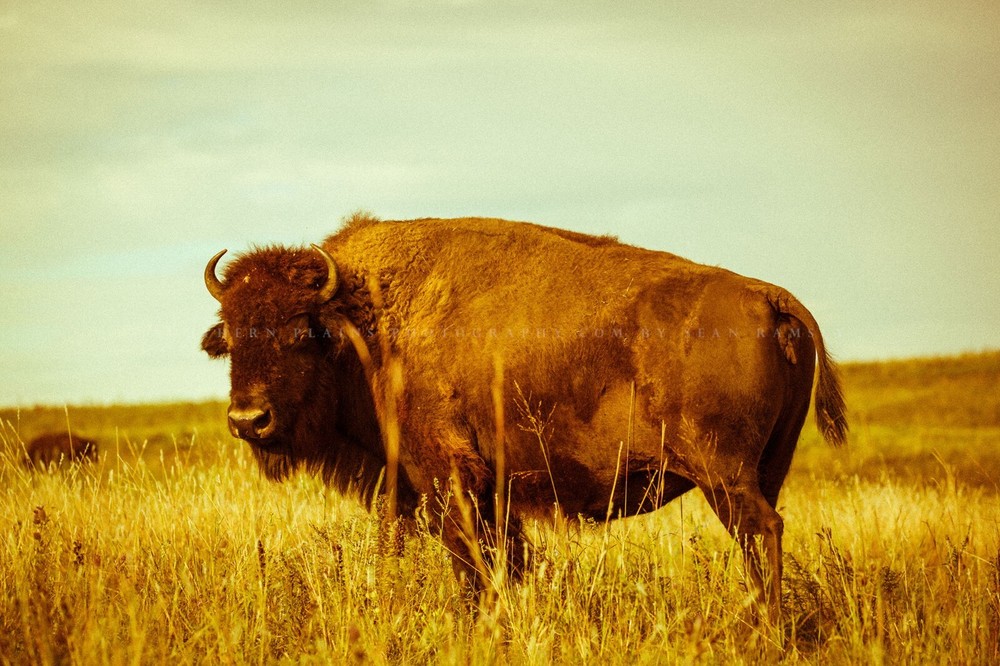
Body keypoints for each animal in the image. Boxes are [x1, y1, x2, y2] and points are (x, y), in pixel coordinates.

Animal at [202, 214, 846, 619]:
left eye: (298, 333)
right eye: (229, 336)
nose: (249, 420)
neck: (367, 327)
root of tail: (770, 296)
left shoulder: (448, 479)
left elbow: (472, 565)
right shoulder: (490, 492)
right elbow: (506, 561)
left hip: (723, 475)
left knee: (762, 531)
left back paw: (765, 626)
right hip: (766, 468)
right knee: (763, 535)